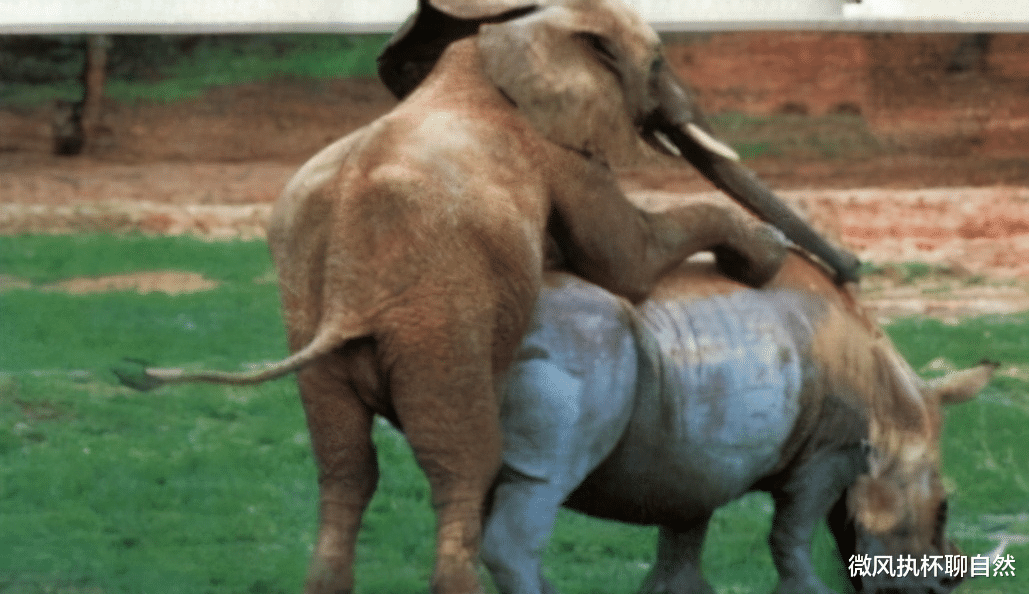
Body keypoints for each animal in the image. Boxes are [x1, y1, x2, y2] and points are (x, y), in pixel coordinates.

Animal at [118, 1, 858, 593]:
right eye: (656, 64)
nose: (850, 271)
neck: (500, 37)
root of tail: (349, 295)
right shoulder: (558, 149)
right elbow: (626, 260)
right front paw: (763, 252)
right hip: (441, 322)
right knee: (463, 469)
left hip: (315, 320)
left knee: (345, 470)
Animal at [482, 252, 995, 594]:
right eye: (943, 508)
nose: (940, 589)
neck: (895, 410)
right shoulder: (832, 450)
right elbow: (791, 532)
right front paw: (809, 592)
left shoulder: (692, 453)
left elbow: (684, 533)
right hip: (582, 343)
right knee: (542, 485)